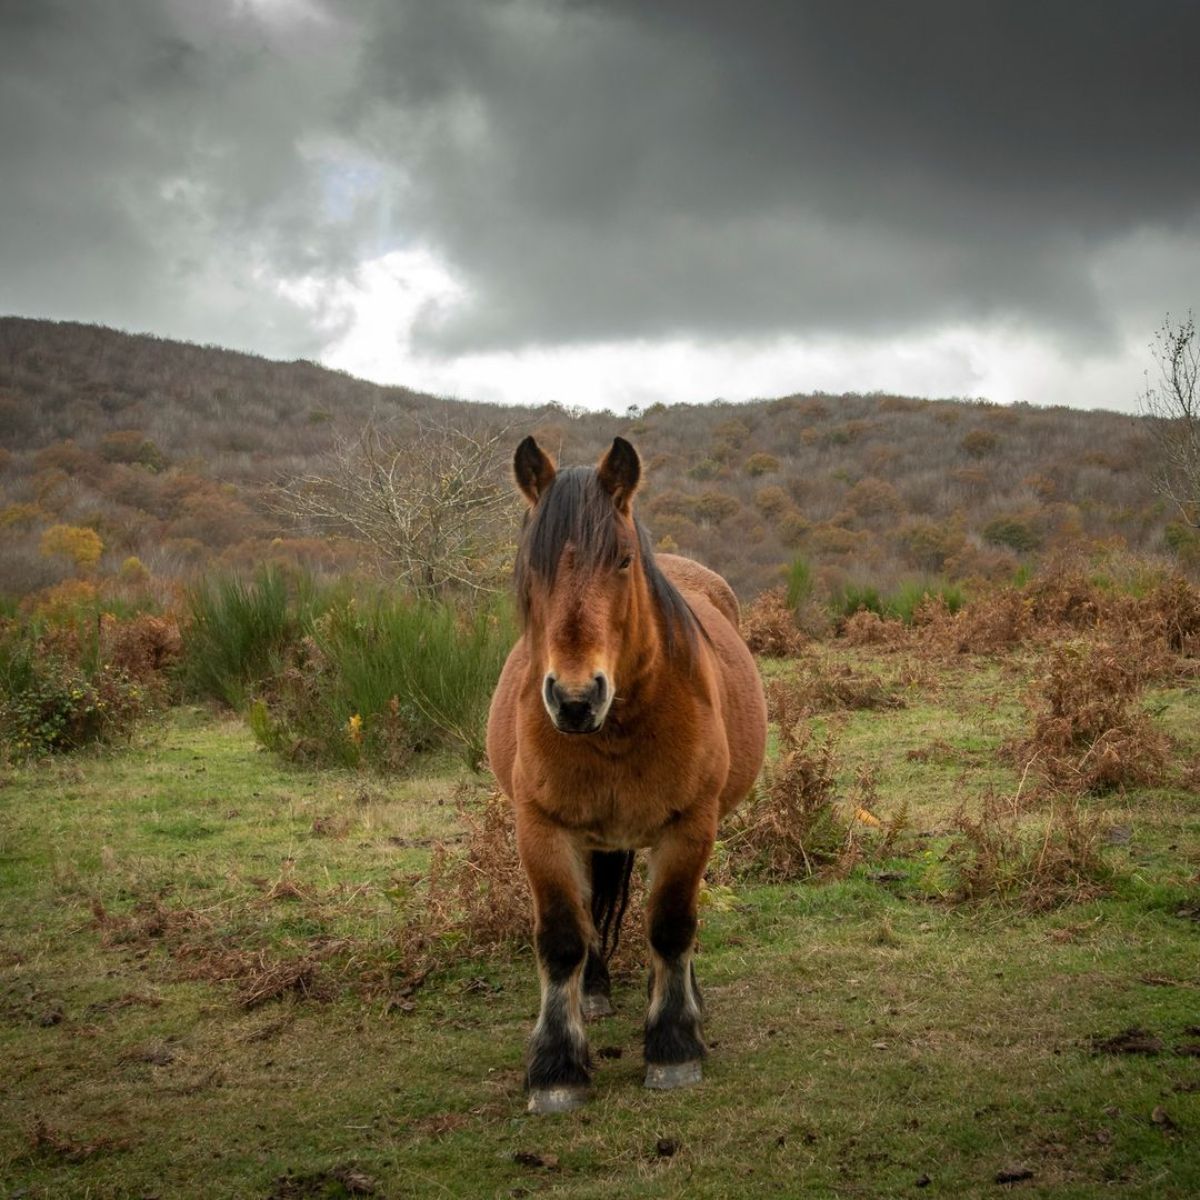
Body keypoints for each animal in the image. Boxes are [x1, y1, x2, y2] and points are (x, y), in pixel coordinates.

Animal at [482, 434, 763, 1113]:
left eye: (624, 560)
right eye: (532, 565)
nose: (575, 699)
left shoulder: (690, 826)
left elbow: (672, 927)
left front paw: (674, 1048)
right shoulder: (541, 830)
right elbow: (562, 938)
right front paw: (556, 1069)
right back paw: (593, 994)